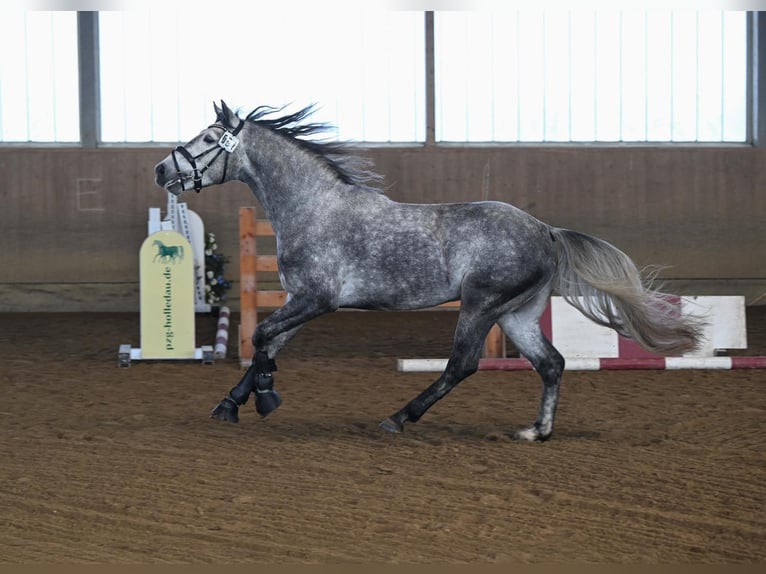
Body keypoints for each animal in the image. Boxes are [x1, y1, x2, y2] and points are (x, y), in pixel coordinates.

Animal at [154, 100, 703, 442]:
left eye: (208, 137)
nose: (162, 170)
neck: (313, 207)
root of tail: (545, 230)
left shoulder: (317, 300)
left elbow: (263, 336)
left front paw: (264, 397)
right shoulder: (299, 302)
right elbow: (267, 342)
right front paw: (232, 403)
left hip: (482, 304)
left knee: (463, 364)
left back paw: (399, 418)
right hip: (518, 313)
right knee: (550, 364)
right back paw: (536, 431)